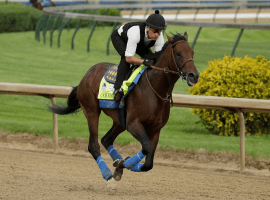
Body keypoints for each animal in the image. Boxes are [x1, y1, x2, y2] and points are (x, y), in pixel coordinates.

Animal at [49, 32, 199, 190]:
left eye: (192, 52)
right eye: (178, 53)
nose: (194, 75)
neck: (155, 87)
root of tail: (88, 74)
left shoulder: (155, 129)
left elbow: (148, 162)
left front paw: (121, 164)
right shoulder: (133, 124)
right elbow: (146, 148)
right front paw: (122, 164)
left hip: (120, 120)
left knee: (106, 139)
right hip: (91, 111)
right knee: (93, 145)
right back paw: (108, 176)